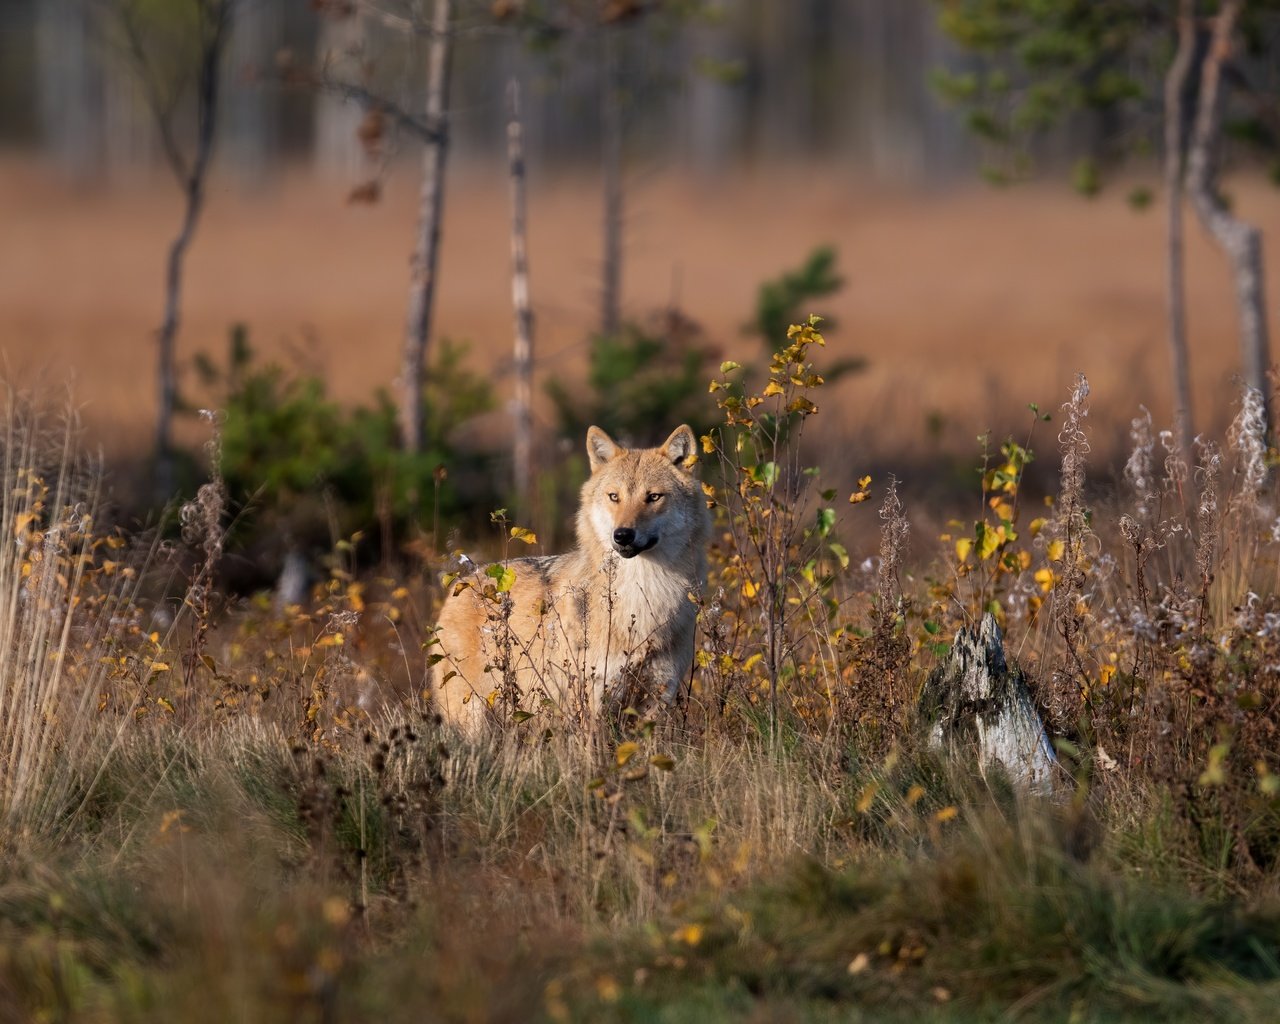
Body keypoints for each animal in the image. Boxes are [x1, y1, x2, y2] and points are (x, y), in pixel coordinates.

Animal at [432, 419, 711, 732]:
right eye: (614, 497)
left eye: (653, 497)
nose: (623, 535)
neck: (643, 594)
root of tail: (464, 579)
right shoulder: (593, 700)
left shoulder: (657, 701)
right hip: (472, 718)